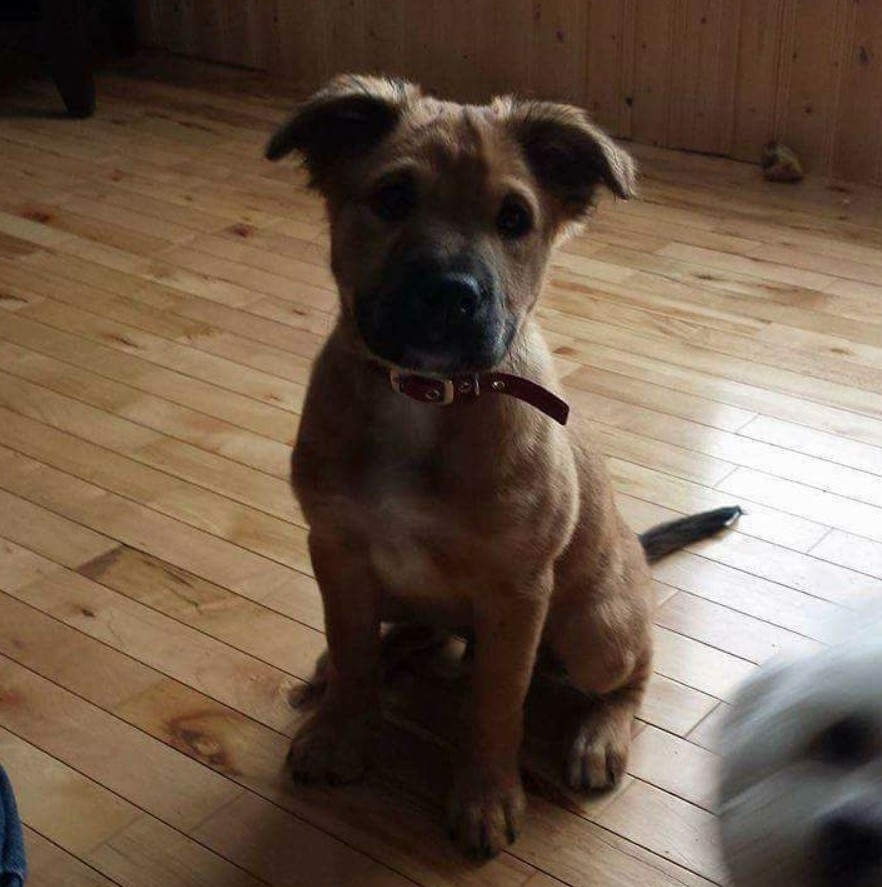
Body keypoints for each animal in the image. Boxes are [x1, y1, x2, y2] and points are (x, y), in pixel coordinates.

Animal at [266, 78, 736, 860]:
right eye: (392, 197)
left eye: (514, 219)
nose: (450, 293)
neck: (424, 394)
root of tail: (638, 556)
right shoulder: (336, 551)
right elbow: (352, 649)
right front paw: (340, 728)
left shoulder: (518, 592)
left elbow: (495, 704)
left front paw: (485, 797)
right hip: (397, 592)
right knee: (415, 637)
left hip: (594, 630)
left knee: (637, 666)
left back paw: (600, 735)